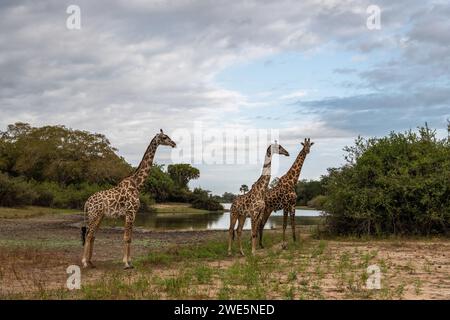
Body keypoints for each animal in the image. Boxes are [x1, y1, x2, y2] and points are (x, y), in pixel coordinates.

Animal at [81, 129, 177, 268]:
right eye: (164, 137)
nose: (174, 143)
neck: (137, 184)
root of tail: (87, 202)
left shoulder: (133, 213)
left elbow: (130, 237)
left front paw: (130, 261)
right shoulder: (130, 212)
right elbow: (126, 237)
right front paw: (126, 263)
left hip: (100, 216)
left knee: (92, 235)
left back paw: (91, 262)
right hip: (94, 214)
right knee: (88, 235)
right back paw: (84, 262)